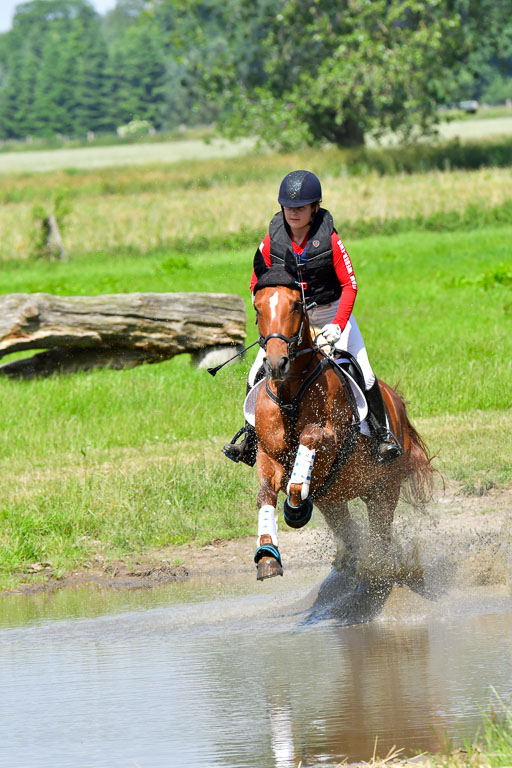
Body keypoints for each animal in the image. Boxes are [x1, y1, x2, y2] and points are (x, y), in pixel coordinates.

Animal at [250, 267, 434, 583]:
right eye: (257, 307)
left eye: (296, 305)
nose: (276, 363)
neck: (290, 395)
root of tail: (398, 404)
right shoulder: (268, 453)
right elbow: (265, 495)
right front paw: (267, 555)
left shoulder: (332, 439)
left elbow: (309, 439)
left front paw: (295, 501)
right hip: (334, 500)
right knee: (348, 532)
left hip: (384, 489)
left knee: (380, 534)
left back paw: (380, 569)